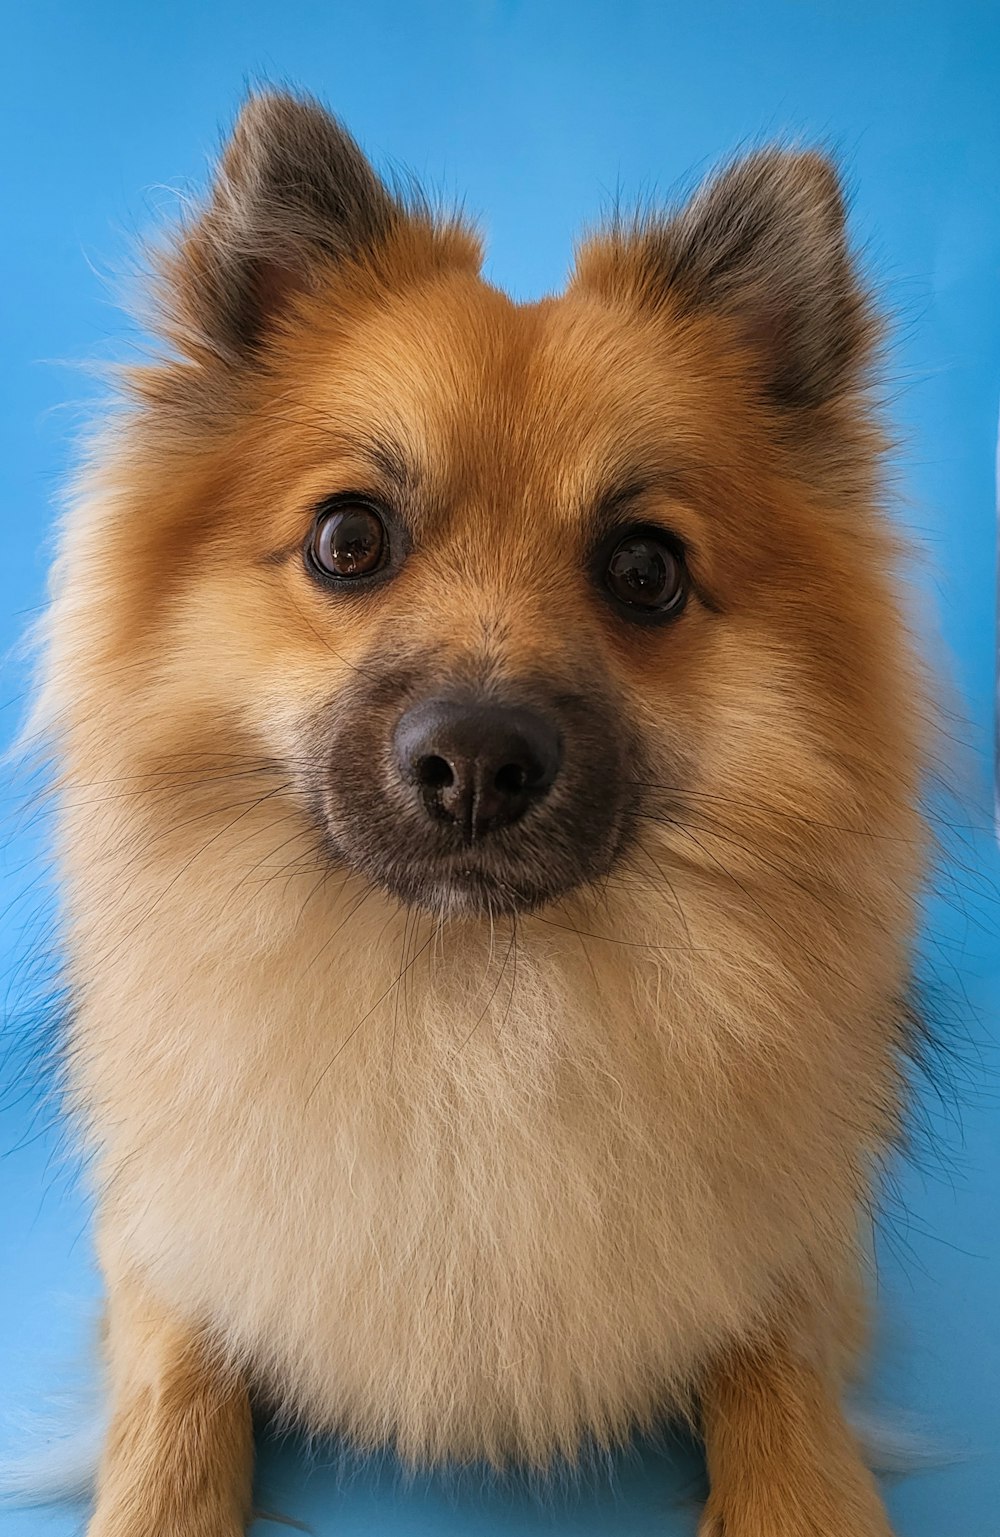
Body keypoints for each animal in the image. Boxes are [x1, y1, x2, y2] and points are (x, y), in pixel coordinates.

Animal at [33, 89, 933, 1530]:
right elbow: (176, 1397)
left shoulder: (797, 1240)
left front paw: (802, 1494)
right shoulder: (165, 1232)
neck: (476, 1017)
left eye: (644, 570)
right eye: (349, 539)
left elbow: (781, 1374)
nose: (474, 758)